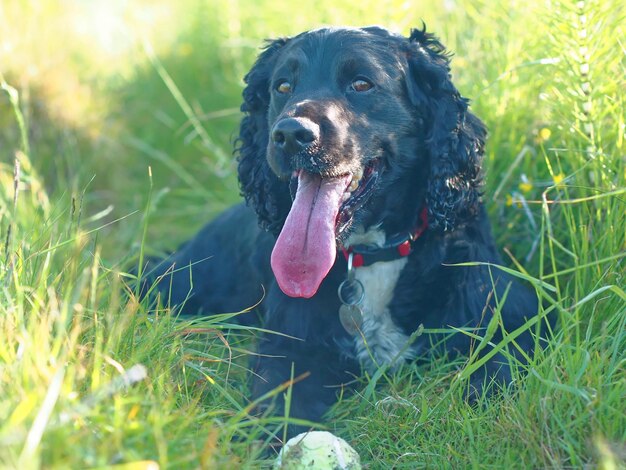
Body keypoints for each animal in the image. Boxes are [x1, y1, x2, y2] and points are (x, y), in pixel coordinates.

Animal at [144, 25, 540, 436]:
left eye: (362, 83)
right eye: (283, 86)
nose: (291, 134)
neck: (372, 255)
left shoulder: (512, 319)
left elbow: (497, 374)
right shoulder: (291, 348)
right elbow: (280, 405)